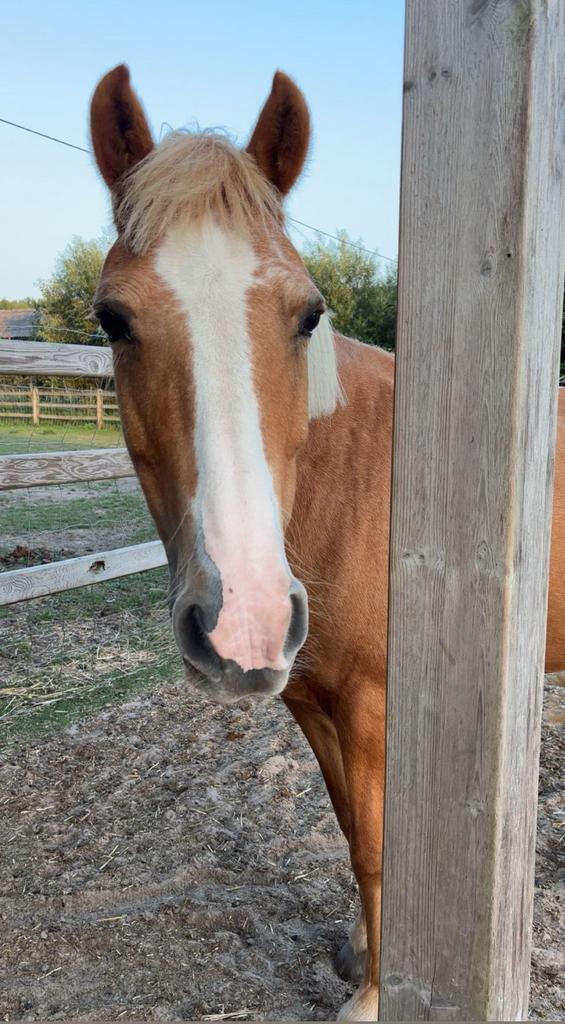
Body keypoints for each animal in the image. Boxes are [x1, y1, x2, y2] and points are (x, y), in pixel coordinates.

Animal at [89, 65, 565, 1022]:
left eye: (307, 312)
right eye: (113, 319)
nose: (244, 618)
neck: (349, 477)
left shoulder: (376, 705)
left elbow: (379, 844)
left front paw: (376, 995)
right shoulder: (311, 701)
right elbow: (348, 830)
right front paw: (357, 952)